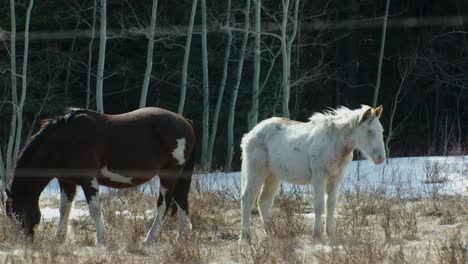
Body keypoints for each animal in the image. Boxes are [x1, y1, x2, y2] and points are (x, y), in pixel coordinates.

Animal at [5, 106, 196, 244]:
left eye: (16, 213)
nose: (24, 241)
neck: (64, 141)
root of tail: (185, 121)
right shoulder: (66, 181)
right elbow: (64, 208)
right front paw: (58, 238)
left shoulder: (88, 179)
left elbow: (95, 209)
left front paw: (101, 239)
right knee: (181, 200)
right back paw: (182, 236)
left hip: (169, 174)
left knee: (164, 204)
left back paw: (150, 238)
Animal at [239, 104, 386, 241]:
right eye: (369, 131)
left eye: (381, 130)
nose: (380, 158)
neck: (335, 143)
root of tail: (248, 136)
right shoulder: (319, 177)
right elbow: (319, 205)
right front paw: (317, 235)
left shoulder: (335, 179)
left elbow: (331, 205)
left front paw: (330, 234)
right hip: (256, 173)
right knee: (247, 199)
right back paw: (245, 236)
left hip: (273, 176)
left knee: (264, 202)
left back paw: (272, 233)